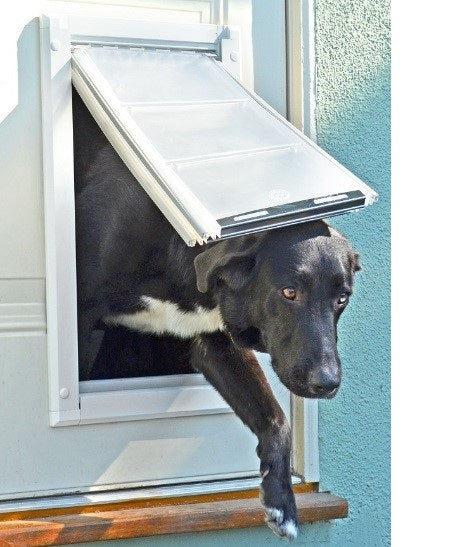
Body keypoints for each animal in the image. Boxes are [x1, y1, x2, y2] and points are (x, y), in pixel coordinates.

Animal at [73, 89, 360, 540]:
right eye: (289, 292)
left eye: (342, 298)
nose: (327, 383)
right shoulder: (84, 321)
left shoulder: (214, 343)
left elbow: (276, 418)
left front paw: (282, 503)